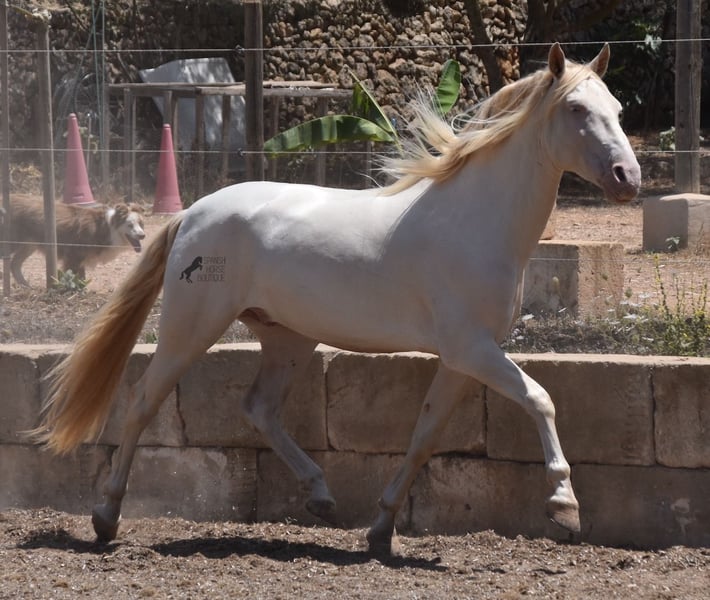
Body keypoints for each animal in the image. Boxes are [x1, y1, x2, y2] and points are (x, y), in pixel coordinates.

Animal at [3, 194, 146, 287]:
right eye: (130, 225)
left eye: (140, 224)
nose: (143, 236)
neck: (107, 227)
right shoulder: (73, 255)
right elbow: (72, 276)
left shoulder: (81, 259)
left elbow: (81, 278)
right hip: (13, 243)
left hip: (28, 245)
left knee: (14, 264)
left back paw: (26, 286)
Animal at [31, 43, 640, 556]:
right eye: (577, 110)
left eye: (617, 109)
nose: (627, 177)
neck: (476, 222)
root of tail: (194, 214)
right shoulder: (473, 350)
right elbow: (541, 399)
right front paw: (564, 505)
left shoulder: (463, 360)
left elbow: (424, 437)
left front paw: (381, 530)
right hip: (192, 327)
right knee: (141, 403)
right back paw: (106, 518)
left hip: (288, 339)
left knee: (259, 408)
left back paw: (321, 496)